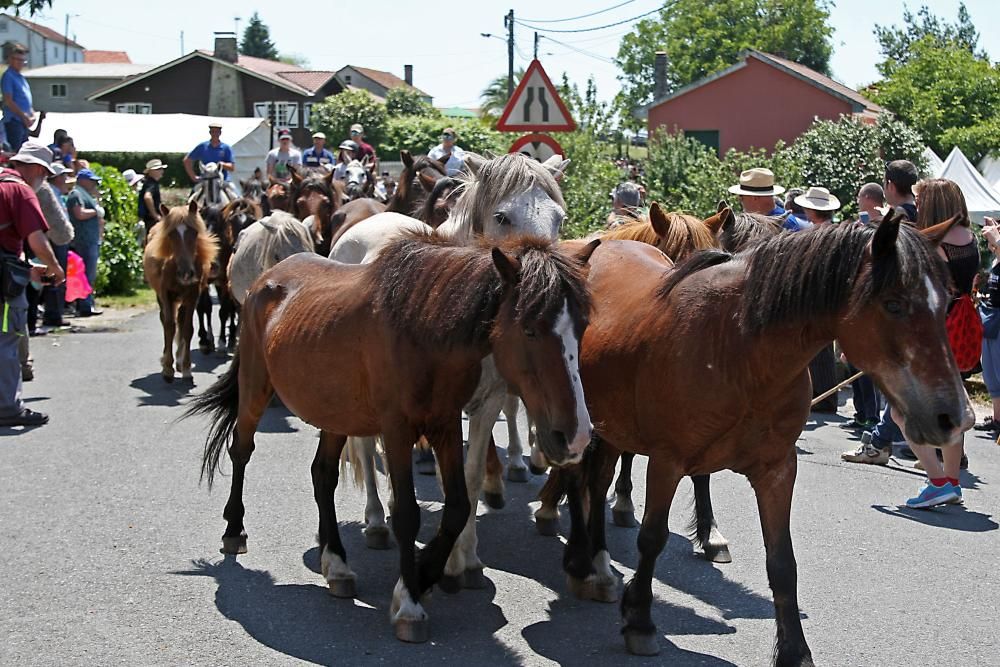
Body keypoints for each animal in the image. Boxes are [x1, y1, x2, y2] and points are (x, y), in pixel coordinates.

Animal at [142, 202, 216, 380]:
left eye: (194, 232)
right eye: (171, 234)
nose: (186, 273)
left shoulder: (192, 296)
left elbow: (187, 329)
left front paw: (187, 367)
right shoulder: (166, 294)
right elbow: (169, 326)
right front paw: (167, 368)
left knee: (181, 322)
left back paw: (180, 361)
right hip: (163, 298)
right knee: (167, 321)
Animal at [187, 232, 596, 644]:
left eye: (582, 326)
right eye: (529, 329)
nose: (575, 437)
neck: (422, 330)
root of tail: (269, 276)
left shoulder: (445, 425)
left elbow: (458, 507)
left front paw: (424, 575)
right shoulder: (398, 430)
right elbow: (406, 513)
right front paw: (409, 602)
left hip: (335, 411)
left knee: (323, 475)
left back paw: (336, 563)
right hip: (255, 386)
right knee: (242, 449)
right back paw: (234, 529)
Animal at [330, 151, 572, 596]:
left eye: (559, 219)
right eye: (502, 216)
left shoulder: (487, 403)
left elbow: (471, 478)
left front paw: (466, 560)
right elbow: (448, 479)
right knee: (365, 448)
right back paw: (375, 521)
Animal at [548, 214, 976, 664]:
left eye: (946, 303)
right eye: (894, 304)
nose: (955, 418)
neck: (737, 351)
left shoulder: (776, 470)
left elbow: (782, 562)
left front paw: (794, 651)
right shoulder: (667, 462)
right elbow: (652, 538)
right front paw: (640, 620)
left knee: (597, 481)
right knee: (586, 482)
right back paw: (586, 562)